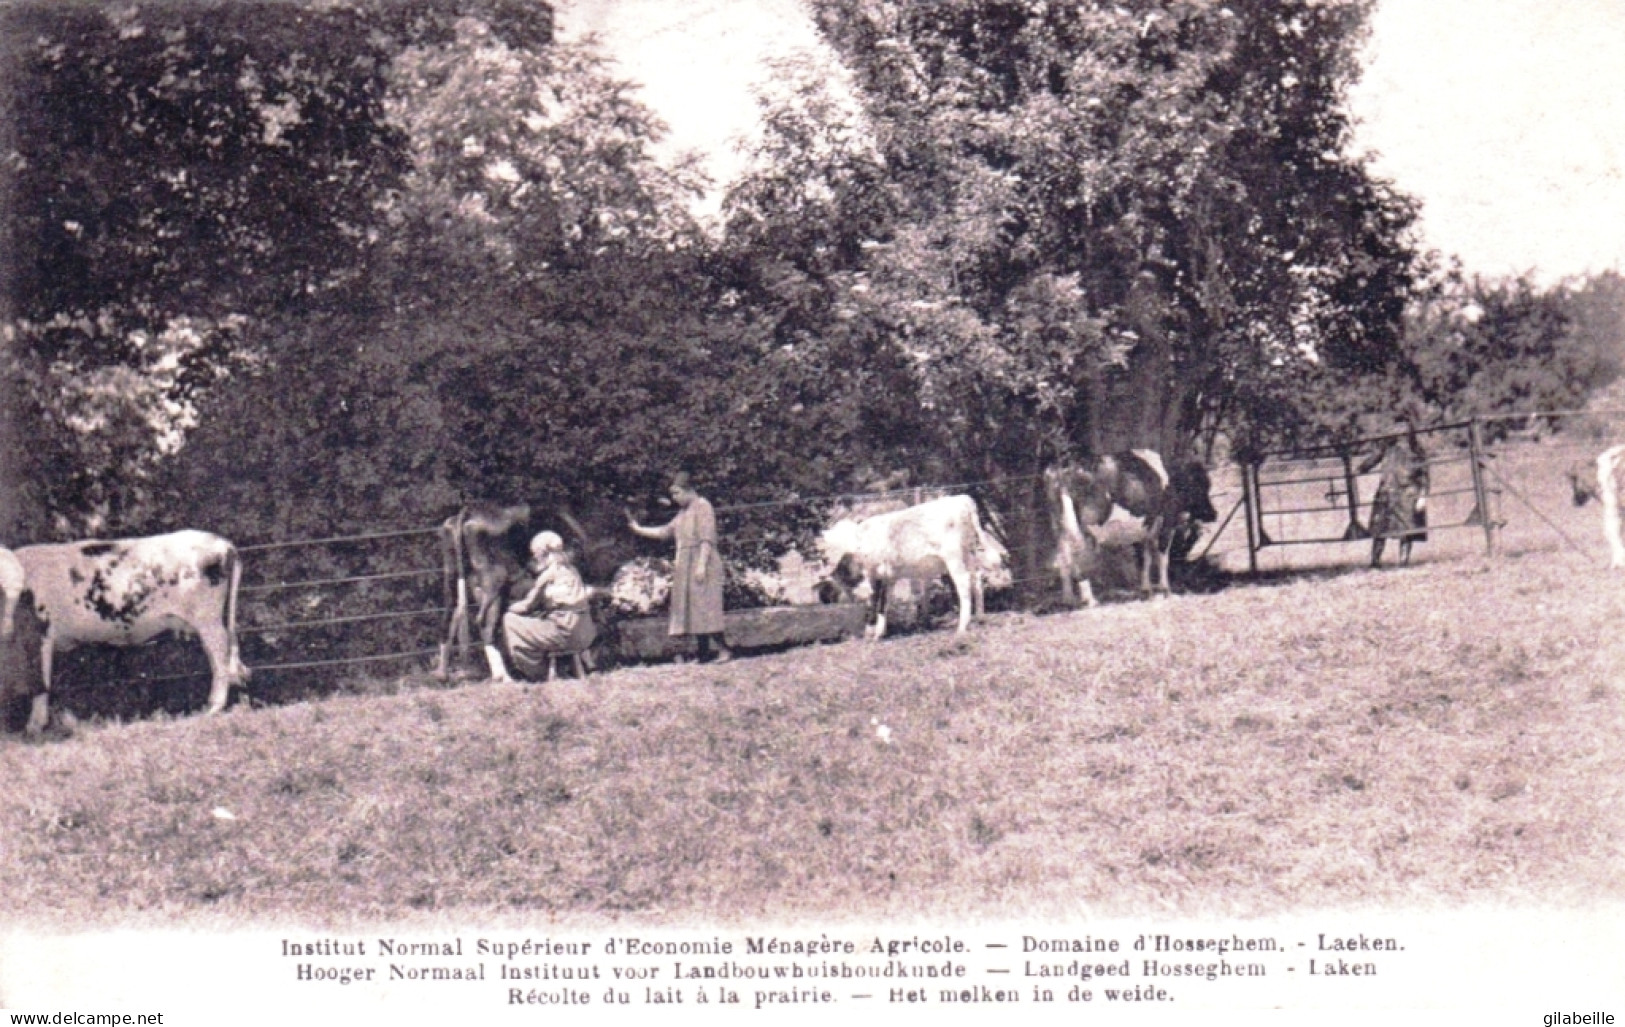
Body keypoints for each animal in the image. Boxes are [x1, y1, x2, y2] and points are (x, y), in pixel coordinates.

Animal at [13, 529, 247, 737]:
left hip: (207, 618)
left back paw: (213, 708)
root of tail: (223, 543)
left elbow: (40, 681)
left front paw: (34, 726)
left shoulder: (40, 633)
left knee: (220, 651)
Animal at [819, 490, 994, 643]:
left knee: (964, 583)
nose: (823, 570)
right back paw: (980, 617)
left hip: (954, 557)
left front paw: (870, 634)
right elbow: (884, 603)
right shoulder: (889, 577)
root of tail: (962, 499)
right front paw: (879, 633)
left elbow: (874, 603)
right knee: (977, 579)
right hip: (969, 555)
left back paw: (962, 626)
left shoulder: (874, 576)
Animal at [1046, 448, 1215, 601]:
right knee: (1079, 554)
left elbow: (1146, 558)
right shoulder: (1167, 523)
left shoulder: (1147, 530)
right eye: (1202, 484)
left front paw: (1147, 590)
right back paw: (1089, 600)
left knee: (1063, 555)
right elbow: (1162, 557)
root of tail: (1067, 466)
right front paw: (1165, 590)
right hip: (1087, 525)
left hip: (1059, 526)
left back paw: (1068, 598)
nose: (1213, 514)